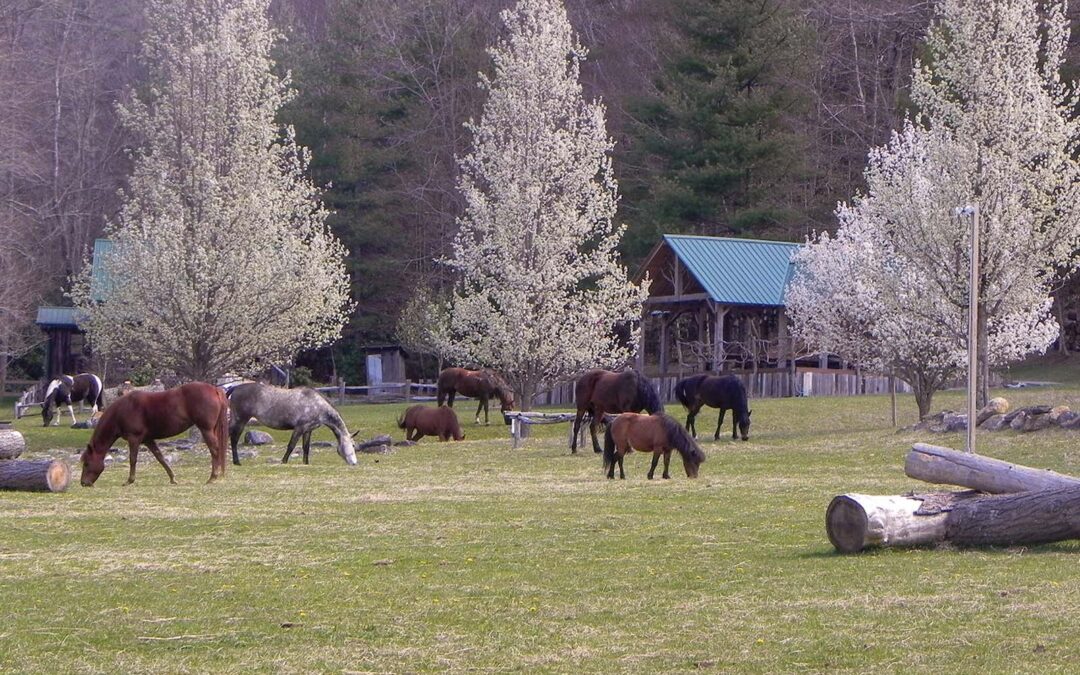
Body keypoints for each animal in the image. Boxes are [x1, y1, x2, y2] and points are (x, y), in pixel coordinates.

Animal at [80, 381, 229, 486]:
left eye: (86, 463)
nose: (83, 483)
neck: (122, 411)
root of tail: (214, 389)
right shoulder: (148, 440)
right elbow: (160, 458)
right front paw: (173, 478)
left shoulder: (134, 438)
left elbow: (133, 459)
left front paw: (129, 480)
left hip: (206, 429)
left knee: (215, 450)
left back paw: (212, 477)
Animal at [226, 382, 358, 466]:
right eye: (352, 445)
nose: (355, 463)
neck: (317, 405)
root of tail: (235, 388)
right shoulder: (299, 428)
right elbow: (291, 445)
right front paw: (283, 461)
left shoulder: (308, 430)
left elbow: (306, 447)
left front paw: (306, 463)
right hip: (240, 421)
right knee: (234, 440)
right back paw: (237, 462)